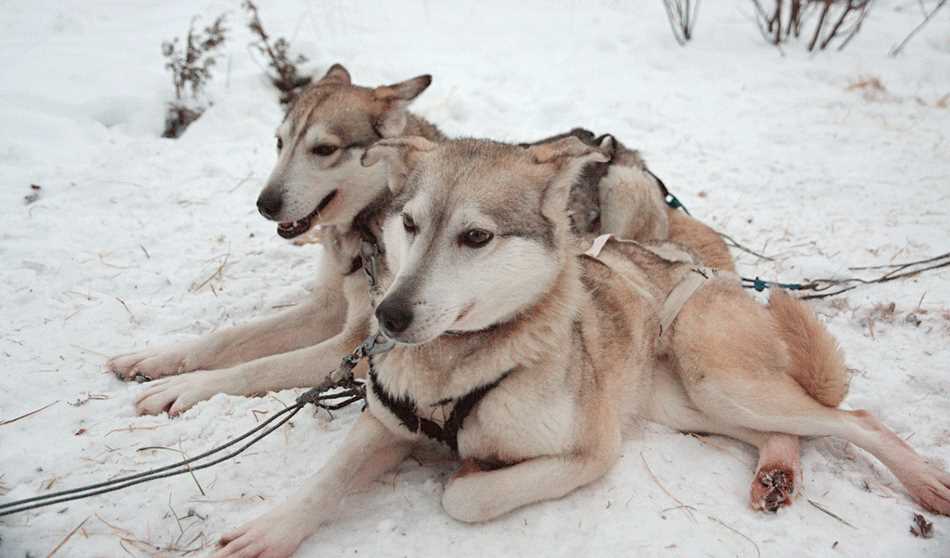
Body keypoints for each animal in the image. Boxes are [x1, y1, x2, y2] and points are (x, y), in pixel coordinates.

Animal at [210, 137, 950, 558]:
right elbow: (326, 481)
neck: (463, 366)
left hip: (719, 383)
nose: (388, 316)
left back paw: (922, 481)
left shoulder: (591, 451)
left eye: (476, 237)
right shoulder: (385, 423)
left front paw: (466, 471)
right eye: (411, 224)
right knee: (786, 432)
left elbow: (462, 498)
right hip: (687, 406)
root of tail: (708, 270)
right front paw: (269, 531)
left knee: (853, 420)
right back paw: (776, 471)